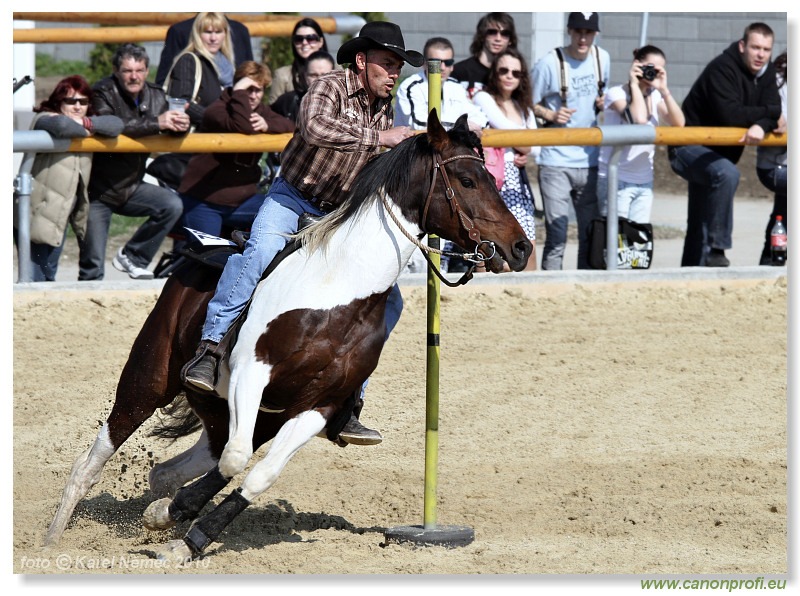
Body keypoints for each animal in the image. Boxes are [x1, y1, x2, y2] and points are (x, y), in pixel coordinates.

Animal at [42, 110, 532, 560]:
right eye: (467, 179)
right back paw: (52, 537)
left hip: (240, 415)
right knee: (95, 457)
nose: (521, 246)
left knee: (174, 468)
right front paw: (177, 519)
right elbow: (237, 460)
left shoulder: (319, 405)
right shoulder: (251, 374)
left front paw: (183, 534)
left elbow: (257, 474)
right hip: (149, 377)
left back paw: (155, 513)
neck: (338, 290)